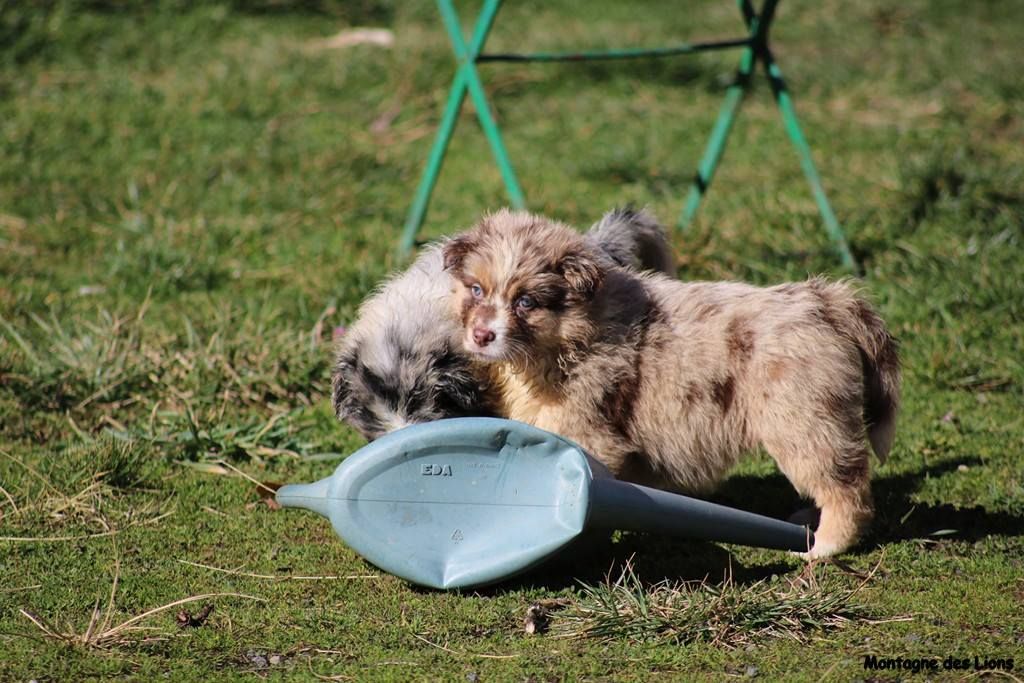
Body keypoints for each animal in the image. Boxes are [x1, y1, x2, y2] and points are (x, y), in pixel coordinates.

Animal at [444, 210, 901, 557]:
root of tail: (826, 302)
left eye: (526, 302)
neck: (568, 337)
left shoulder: (588, 433)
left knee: (846, 486)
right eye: (476, 289)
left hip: (802, 419)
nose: (481, 336)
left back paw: (824, 546)